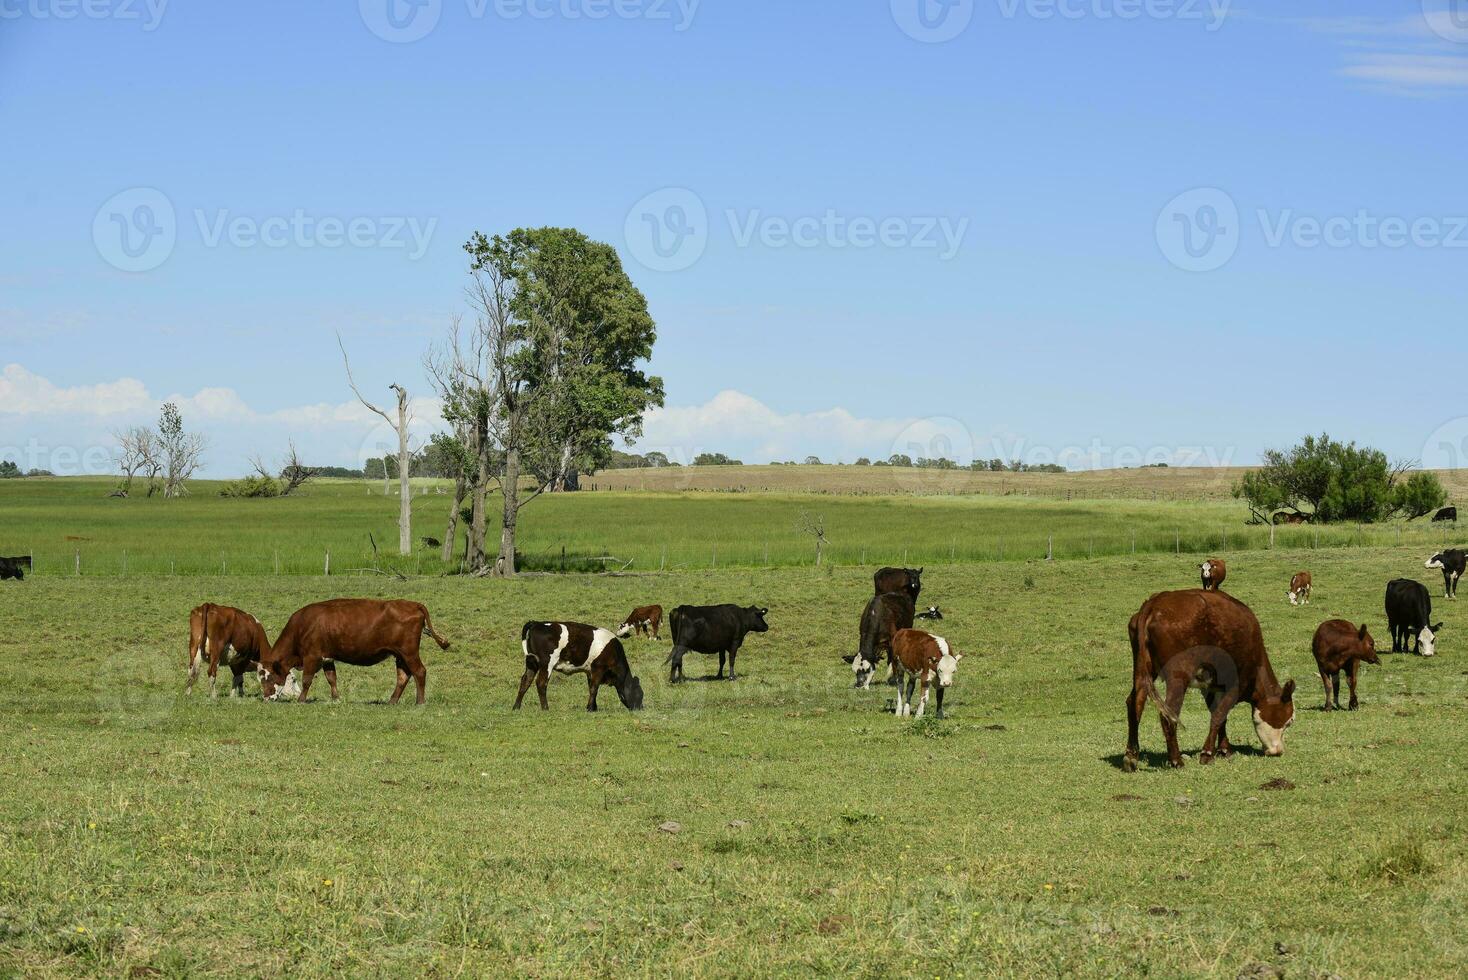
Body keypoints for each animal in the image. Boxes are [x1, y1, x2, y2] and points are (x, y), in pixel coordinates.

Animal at [258, 598, 449, 704]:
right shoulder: (327, 658)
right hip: (400, 655)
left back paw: (420, 702)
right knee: (403, 676)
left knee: (419, 672)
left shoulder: (312, 657)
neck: (302, 626)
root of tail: (413, 604)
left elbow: (307, 680)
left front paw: (301, 700)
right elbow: (331, 678)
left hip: (409, 653)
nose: (266, 698)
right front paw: (336, 699)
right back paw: (392, 701)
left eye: (268, 677)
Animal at [1121, 589, 1297, 774]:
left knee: (1135, 703)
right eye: (1289, 722)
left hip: (1142, 670)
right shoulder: (1235, 683)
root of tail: (1154, 603)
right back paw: (1176, 760)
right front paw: (1207, 754)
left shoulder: (1211, 686)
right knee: (1169, 715)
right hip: (1178, 677)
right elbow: (1220, 714)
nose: (1278, 751)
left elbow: (1219, 715)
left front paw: (1224, 749)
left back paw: (1131, 756)